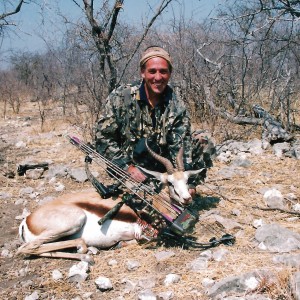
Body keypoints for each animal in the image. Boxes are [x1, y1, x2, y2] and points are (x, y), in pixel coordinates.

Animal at [17, 142, 204, 262]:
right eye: (170, 183)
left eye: (187, 180)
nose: (187, 198)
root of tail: (27, 221)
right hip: (73, 221)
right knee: (26, 248)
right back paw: (85, 255)